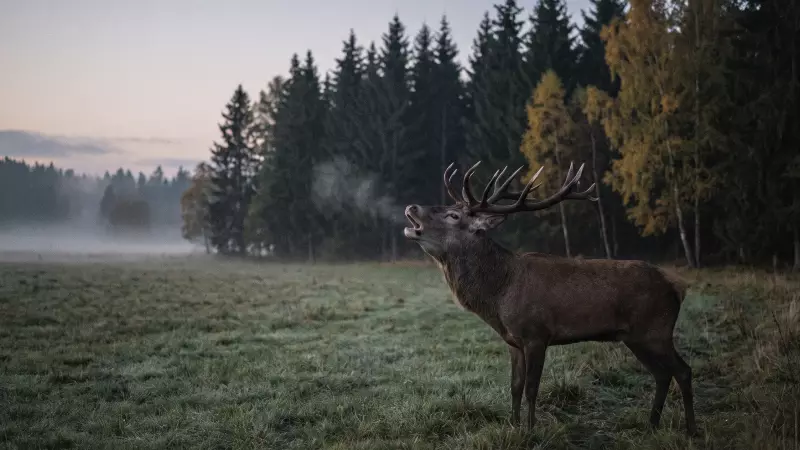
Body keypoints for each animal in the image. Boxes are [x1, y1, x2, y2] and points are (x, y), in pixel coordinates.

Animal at [402, 161, 697, 435]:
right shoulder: (513, 341)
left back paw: (690, 429)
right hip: (635, 337)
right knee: (662, 374)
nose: (412, 207)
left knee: (682, 370)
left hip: (656, 330)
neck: (500, 294)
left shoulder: (537, 334)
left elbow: (532, 388)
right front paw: (513, 425)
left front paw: (531, 429)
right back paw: (652, 424)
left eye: (453, 215)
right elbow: (515, 386)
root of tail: (677, 287)